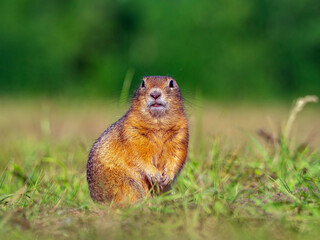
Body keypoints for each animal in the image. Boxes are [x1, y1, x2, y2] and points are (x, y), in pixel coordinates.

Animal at [86, 76, 189, 205]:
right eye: (142, 83)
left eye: (171, 83)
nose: (155, 94)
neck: (158, 123)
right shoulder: (132, 134)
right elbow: (139, 157)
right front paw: (154, 174)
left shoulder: (181, 135)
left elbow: (177, 156)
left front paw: (168, 176)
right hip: (127, 184)